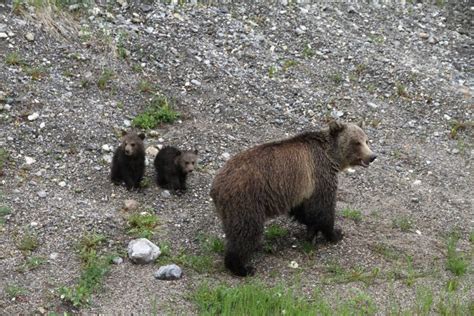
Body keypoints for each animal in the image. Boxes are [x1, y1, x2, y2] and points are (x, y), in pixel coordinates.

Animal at [209, 121, 376, 276]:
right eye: (356, 142)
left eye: (367, 140)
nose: (372, 156)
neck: (331, 157)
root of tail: (216, 185)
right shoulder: (320, 175)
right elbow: (323, 210)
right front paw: (335, 233)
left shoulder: (304, 189)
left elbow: (305, 211)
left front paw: (311, 231)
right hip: (247, 199)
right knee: (247, 230)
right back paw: (242, 267)